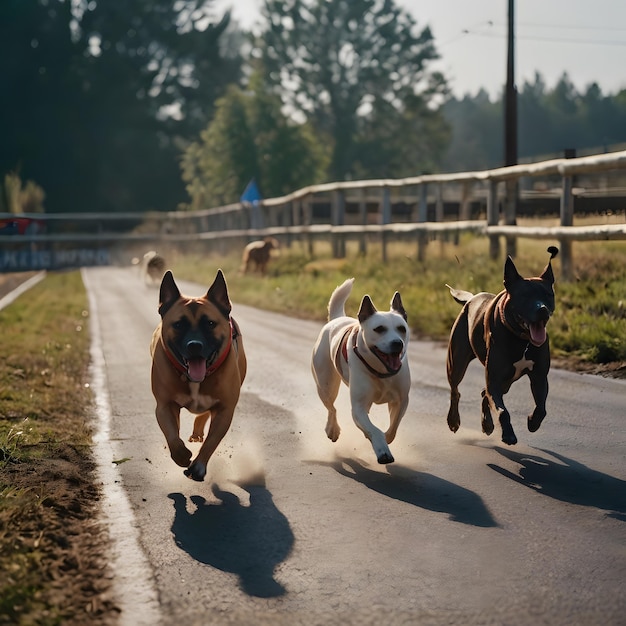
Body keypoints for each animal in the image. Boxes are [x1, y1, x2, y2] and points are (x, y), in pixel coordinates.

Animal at [149, 270, 246, 480]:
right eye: (178, 325)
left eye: (210, 323)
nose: (194, 345)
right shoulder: (164, 405)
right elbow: (172, 435)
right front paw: (181, 455)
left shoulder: (225, 409)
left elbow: (212, 441)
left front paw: (199, 465)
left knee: (205, 414)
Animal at [310, 280, 410, 464]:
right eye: (379, 329)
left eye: (402, 328)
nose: (397, 343)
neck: (380, 371)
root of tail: (337, 319)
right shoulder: (358, 407)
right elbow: (374, 429)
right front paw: (382, 449)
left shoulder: (401, 400)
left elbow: (393, 426)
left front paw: (385, 438)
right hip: (325, 385)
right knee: (331, 408)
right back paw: (332, 429)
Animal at [444, 244, 556, 444]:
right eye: (524, 295)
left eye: (548, 295)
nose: (542, 309)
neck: (522, 340)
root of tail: (470, 299)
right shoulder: (495, 379)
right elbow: (503, 412)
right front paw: (509, 434)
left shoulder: (539, 376)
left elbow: (541, 408)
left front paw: (532, 422)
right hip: (456, 362)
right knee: (455, 390)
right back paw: (454, 420)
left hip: (507, 381)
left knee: (484, 394)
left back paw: (487, 424)